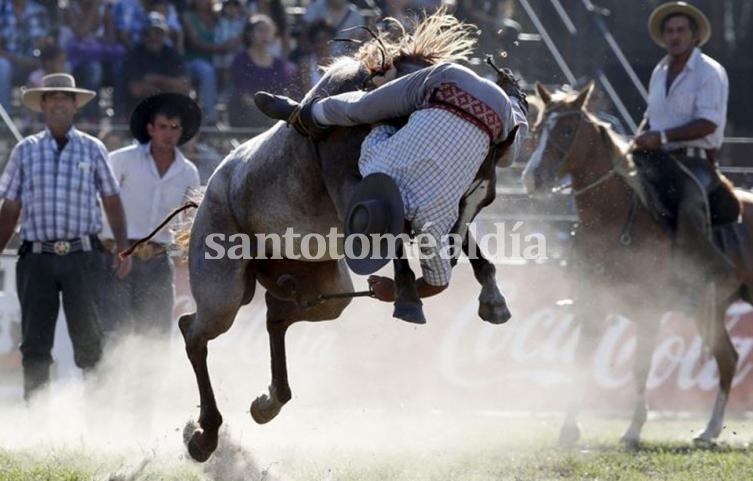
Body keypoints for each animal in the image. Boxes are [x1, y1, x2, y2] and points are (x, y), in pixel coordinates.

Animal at [520, 82, 752, 446]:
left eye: (567, 129)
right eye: (539, 127)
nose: (533, 178)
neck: (613, 219)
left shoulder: (649, 310)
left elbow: (640, 366)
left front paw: (632, 429)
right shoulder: (592, 305)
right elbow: (581, 363)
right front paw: (569, 429)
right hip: (711, 310)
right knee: (728, 359)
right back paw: (709, 430)